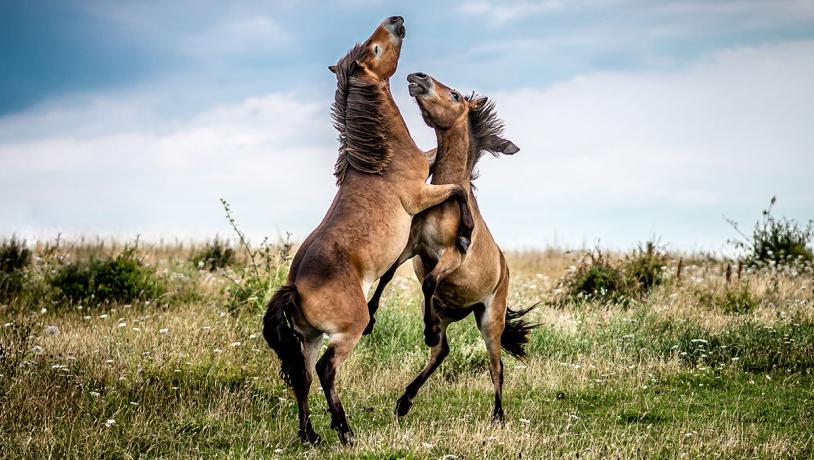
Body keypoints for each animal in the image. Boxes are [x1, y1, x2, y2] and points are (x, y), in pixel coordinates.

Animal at [264, 18, 474, 446]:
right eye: (375, 49)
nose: (397, 20)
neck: (381, 159)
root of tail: (295, 287)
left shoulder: (425, 167)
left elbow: (439, 158)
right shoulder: (420, 193)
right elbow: (457, 189)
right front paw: (464, 233)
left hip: (308, 338)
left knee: (303, 377)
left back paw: (311, 435)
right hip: (345, 333)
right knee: (326, 370)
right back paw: (345, 431)